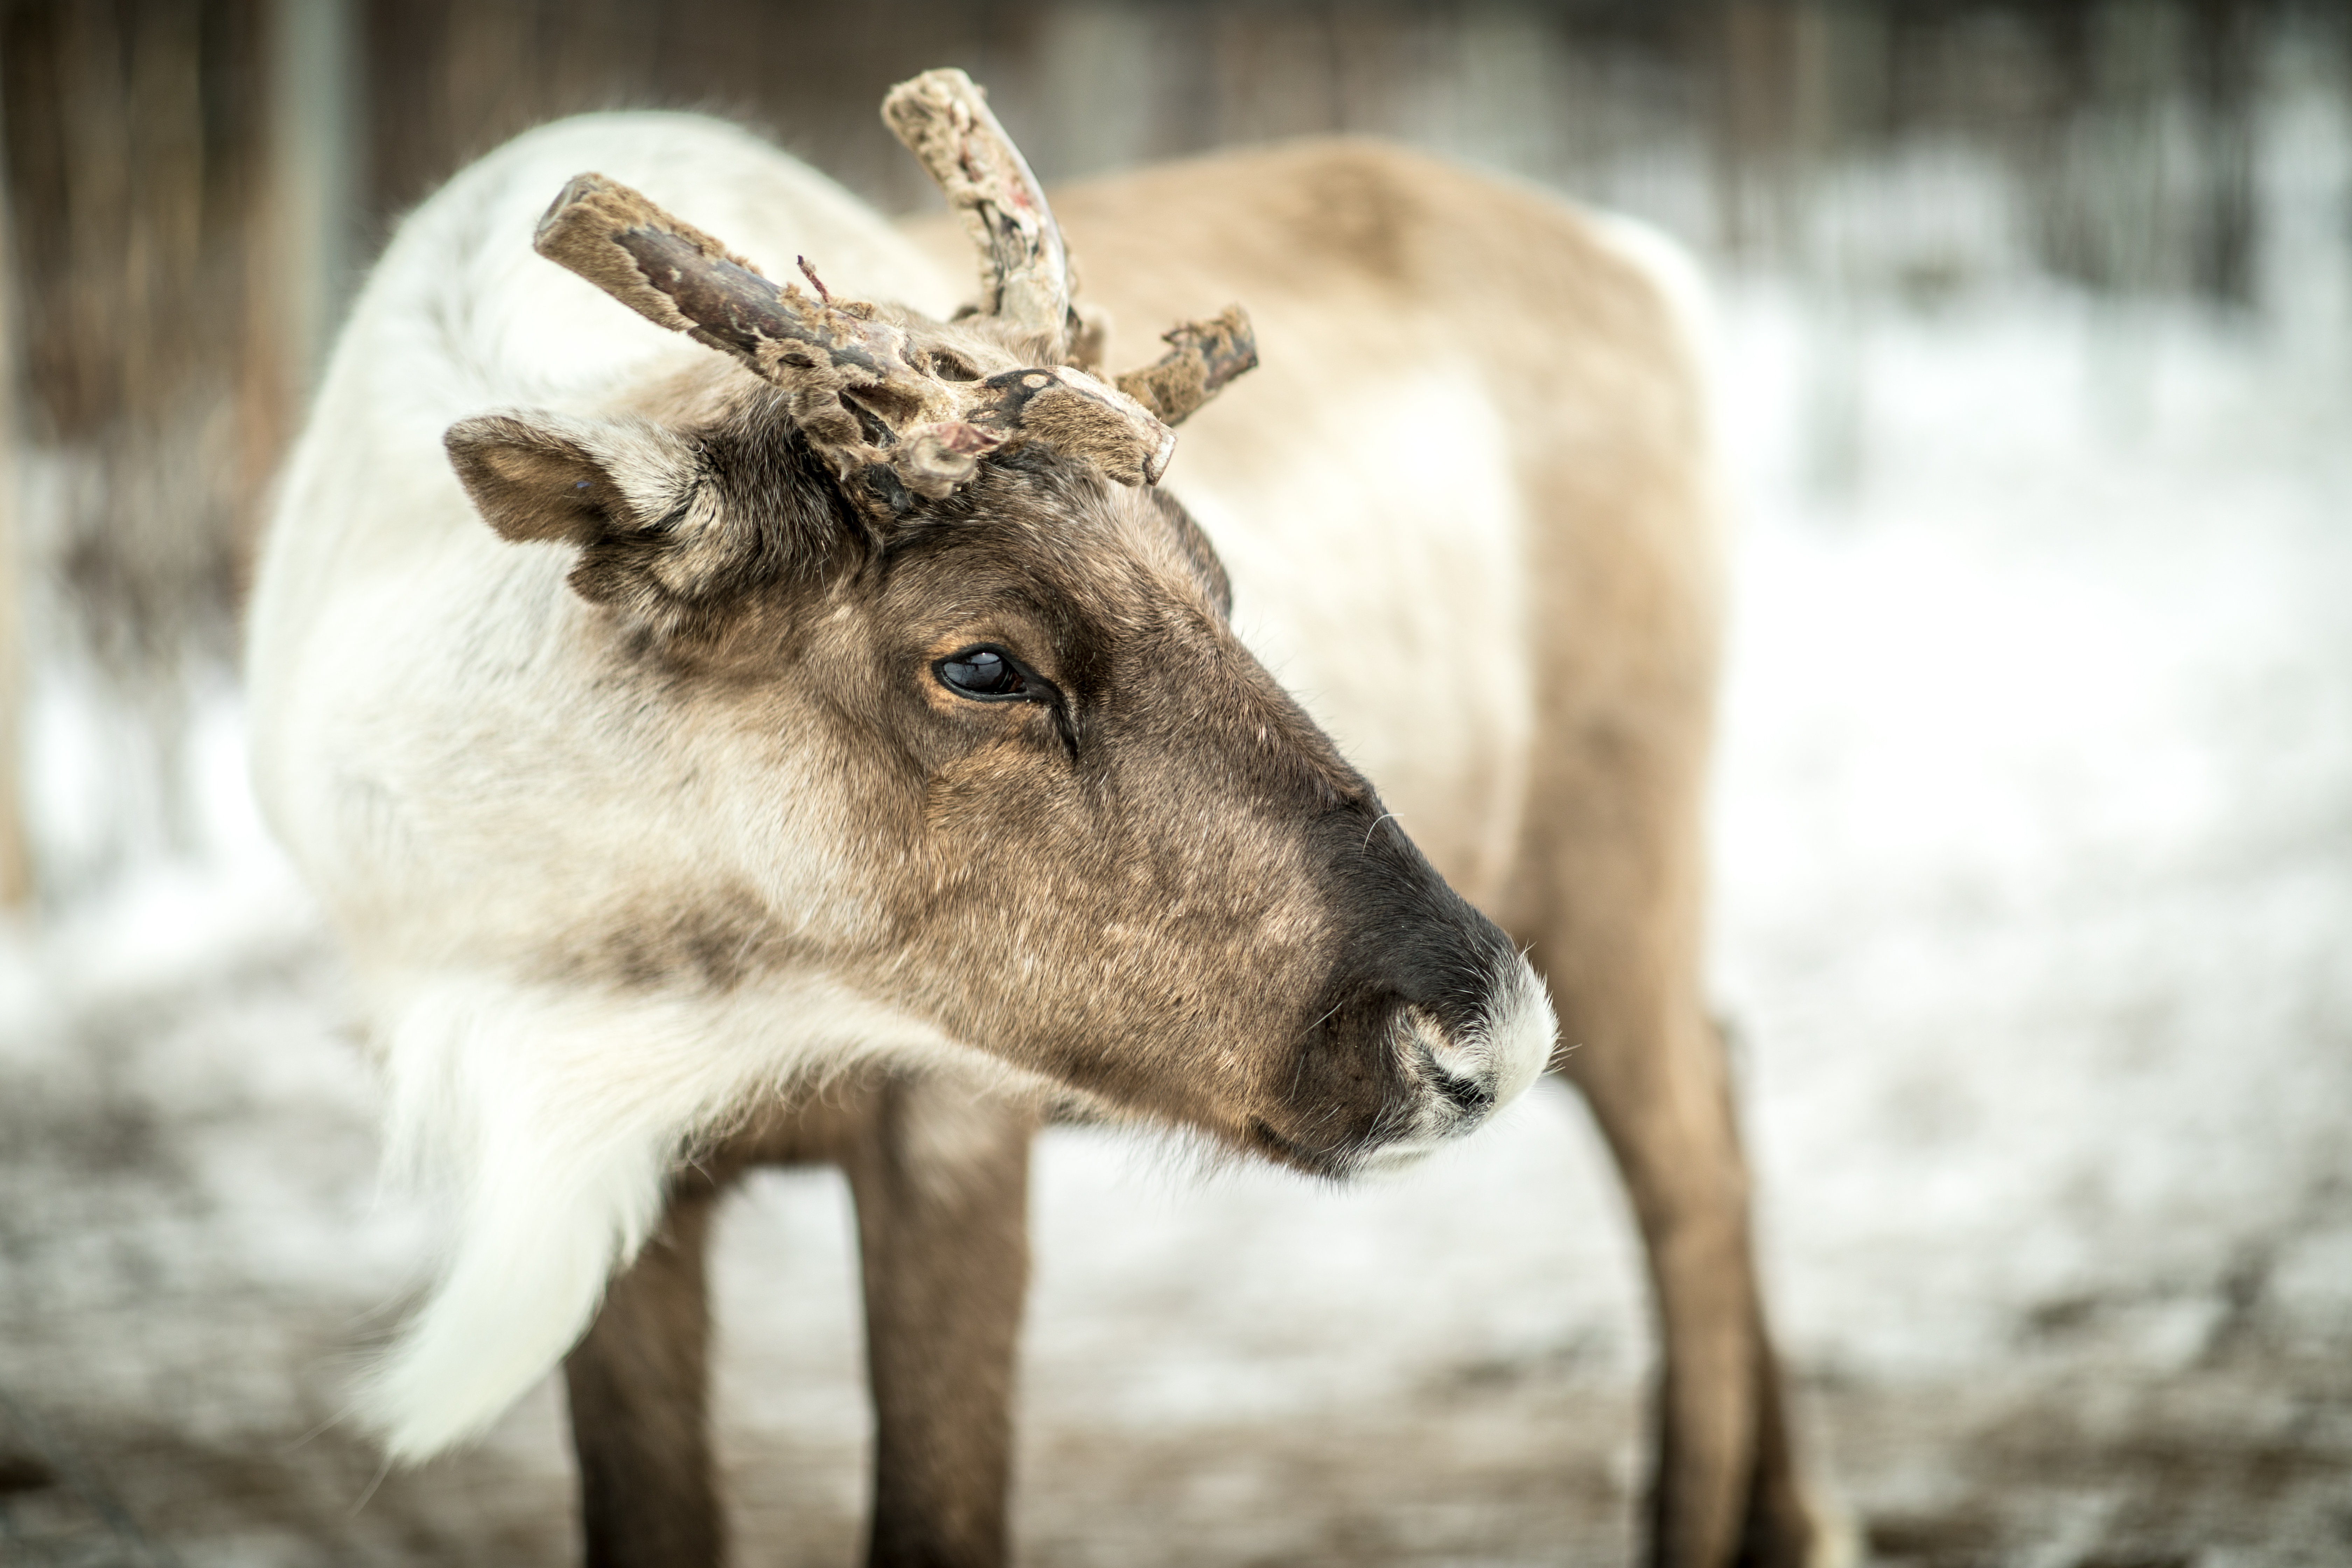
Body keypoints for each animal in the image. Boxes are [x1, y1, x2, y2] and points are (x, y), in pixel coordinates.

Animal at [245, 67, 1828, 1568]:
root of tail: (1644, 265)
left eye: (1217, 582)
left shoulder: (951, 1126)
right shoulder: (618, 1180)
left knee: (1693, 1163)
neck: (626, 960)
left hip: (1621, 855)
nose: (1480, 1040)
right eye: (984, 662)